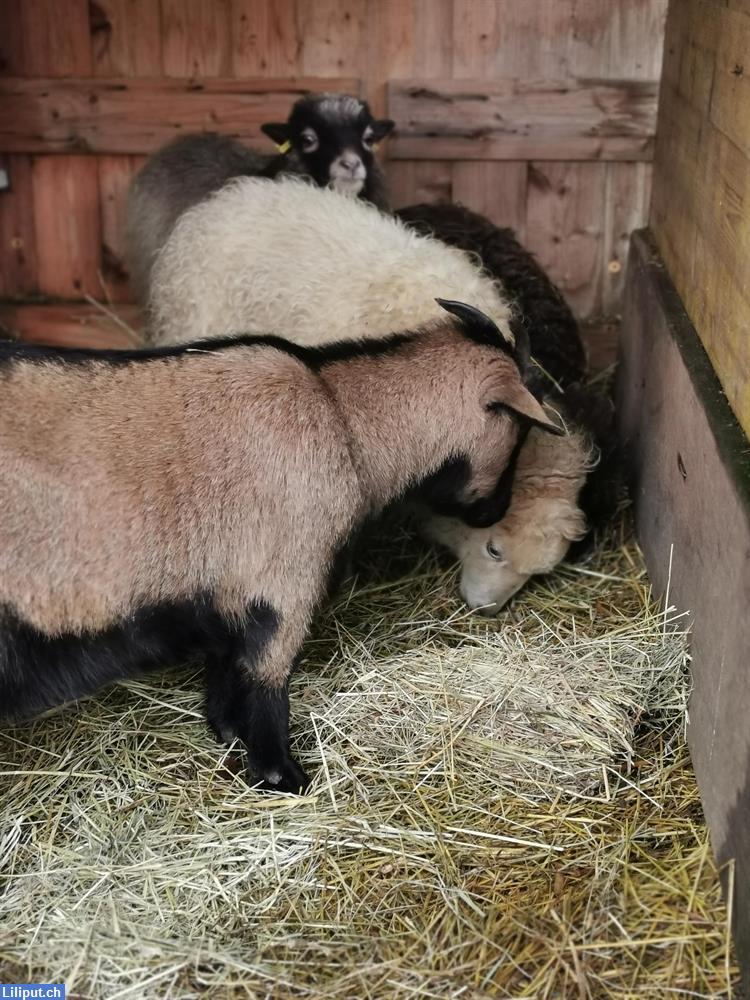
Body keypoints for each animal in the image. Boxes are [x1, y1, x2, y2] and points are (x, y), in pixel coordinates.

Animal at [0, 300, 564, 792]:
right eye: (519, 434)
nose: (493, 513)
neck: (346, 421)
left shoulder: (229, 591)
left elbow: (226, 667)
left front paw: (228, 732)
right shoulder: (287, 581)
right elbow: (268, 678)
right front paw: (281, 775)